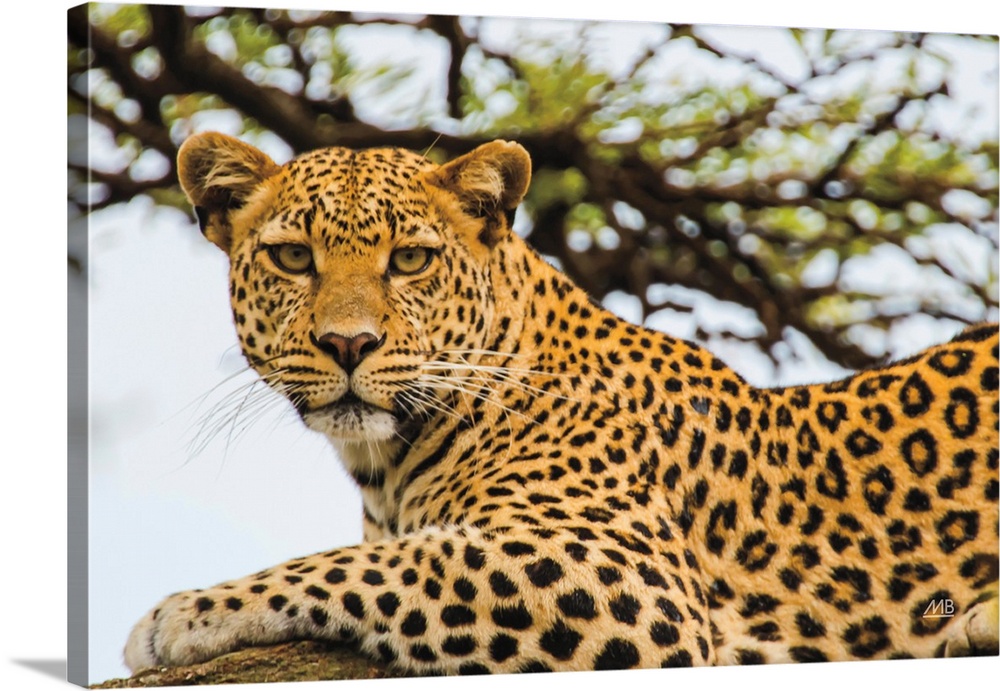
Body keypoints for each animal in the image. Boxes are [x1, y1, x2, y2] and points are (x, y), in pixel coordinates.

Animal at [125, 132, 999, 676]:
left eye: (409, 260)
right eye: (292, 257)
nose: (349, 343)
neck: (386, 463)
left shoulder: (627, 577)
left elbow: (372, 563)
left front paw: (186, 614)